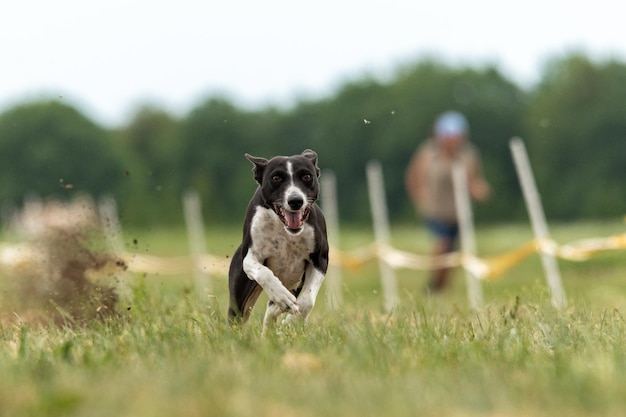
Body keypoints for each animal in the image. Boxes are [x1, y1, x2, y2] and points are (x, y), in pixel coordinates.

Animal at [227, 150, 330, 332]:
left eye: (306, 176)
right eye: (276, 178)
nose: (295, 200)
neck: (285, 230)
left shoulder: (320, 259)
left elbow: (307, 301)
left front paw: (291, 321)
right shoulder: (250, 257)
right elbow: (264, 273)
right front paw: (281, 296)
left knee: (273, 310)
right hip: (239, 297)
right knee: (239, 316)